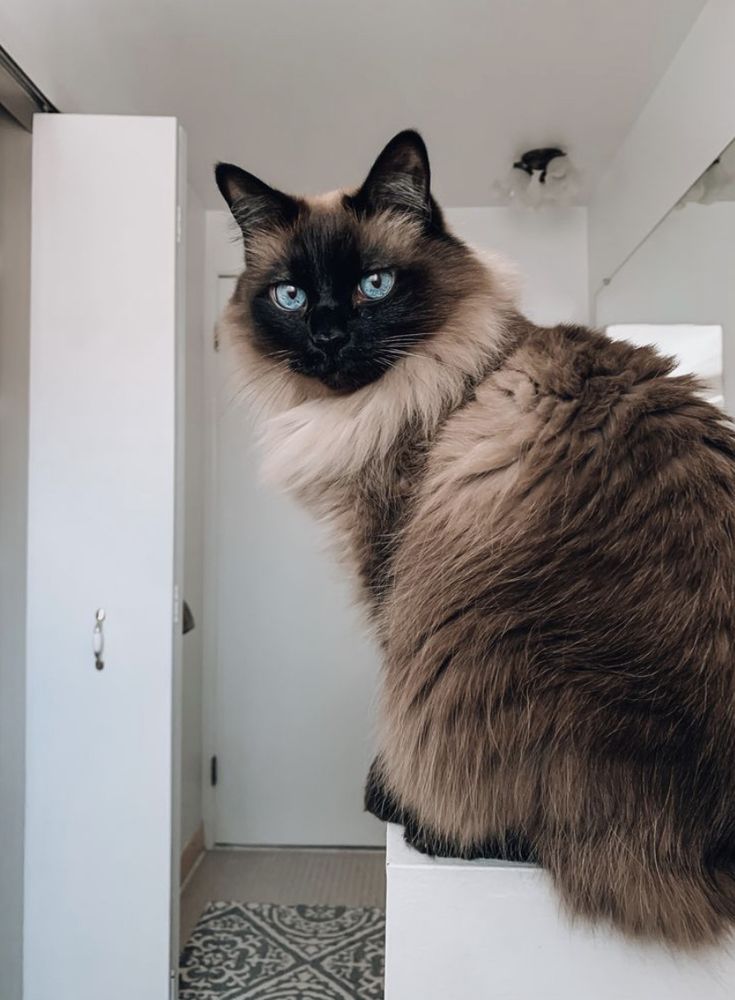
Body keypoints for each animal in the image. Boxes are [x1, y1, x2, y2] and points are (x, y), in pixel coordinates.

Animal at [216, 127, 735, 944]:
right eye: (290, 297)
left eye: (374, 286)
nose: (329, 336)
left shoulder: (386, 567)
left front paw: (390, 792)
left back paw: (410, 815)